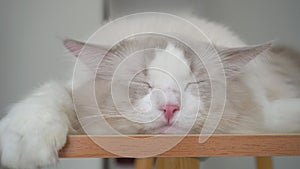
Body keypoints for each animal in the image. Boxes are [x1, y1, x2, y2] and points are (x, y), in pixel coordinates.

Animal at [0, 14, 300, 169]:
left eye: (194, 84)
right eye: (143, 83)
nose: (170, 107)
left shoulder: (273, 110)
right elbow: (50, 97)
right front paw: (24, 147)